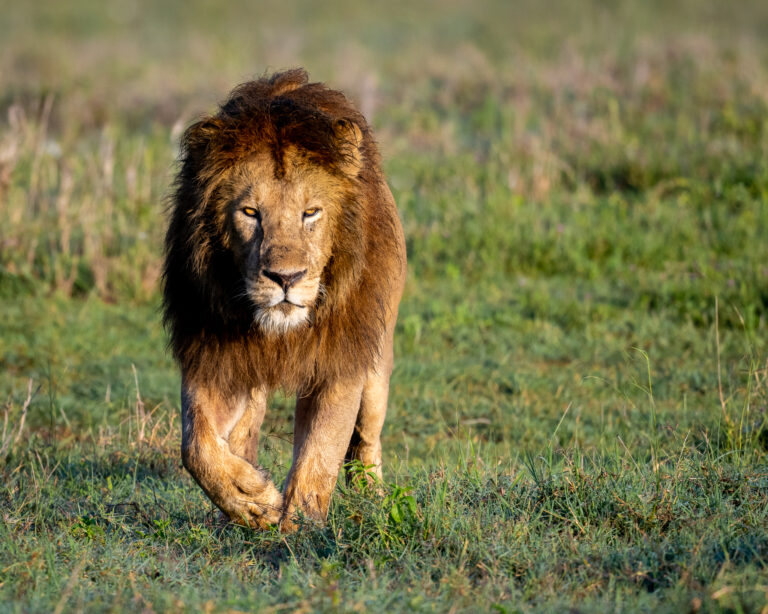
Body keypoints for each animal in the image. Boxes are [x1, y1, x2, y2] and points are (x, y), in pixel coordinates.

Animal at [162, 69, 406, 532]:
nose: (285, 277)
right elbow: (196, 444)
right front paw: (251, 499)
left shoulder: (338, 362)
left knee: (366, 439)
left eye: (311, 212)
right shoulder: (215, 355)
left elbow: (319, 455)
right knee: (241, 434)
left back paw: (373, 497)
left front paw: (301, 530)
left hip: (378, 361)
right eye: (250, 213)